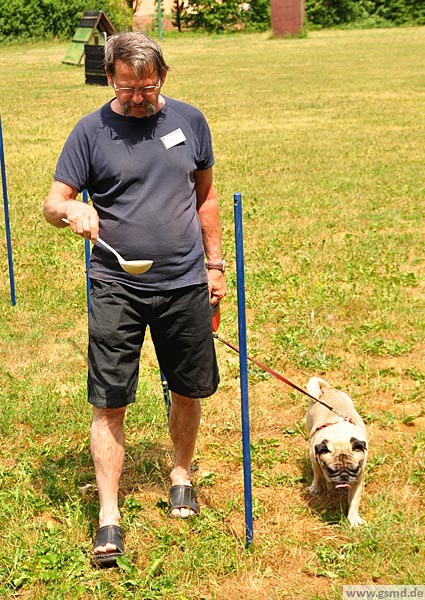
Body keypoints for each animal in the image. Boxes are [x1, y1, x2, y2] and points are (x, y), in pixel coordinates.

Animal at [305, 377, 368, 526]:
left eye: (355, 469)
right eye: (331, 470)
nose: (344, 476)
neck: (340, 437)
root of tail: (327, 389)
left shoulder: (358, 479)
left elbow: (354, 501)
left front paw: (353, 518)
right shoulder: (314, 459)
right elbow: (318, 474)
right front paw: (316, 487)